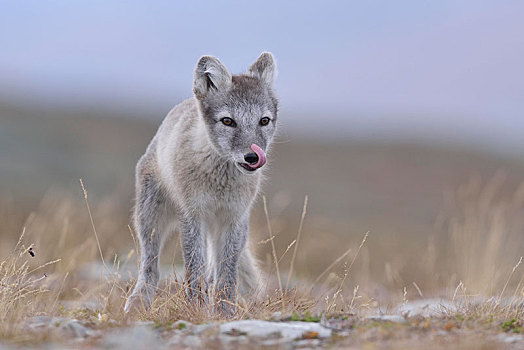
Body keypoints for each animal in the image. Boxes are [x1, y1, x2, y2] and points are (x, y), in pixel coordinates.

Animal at [125, 52, 278, 314]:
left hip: (228, 229)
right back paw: (139, 300)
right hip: (150, 219)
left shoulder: (233, 218)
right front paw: (196, 308)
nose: (252, 157)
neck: (220, 182)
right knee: (150, 266)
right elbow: (194, 269)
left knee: (215, 266)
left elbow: (227, 275)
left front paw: (224, 312)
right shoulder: (192, 214)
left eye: (264, 121)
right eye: (227, 121)